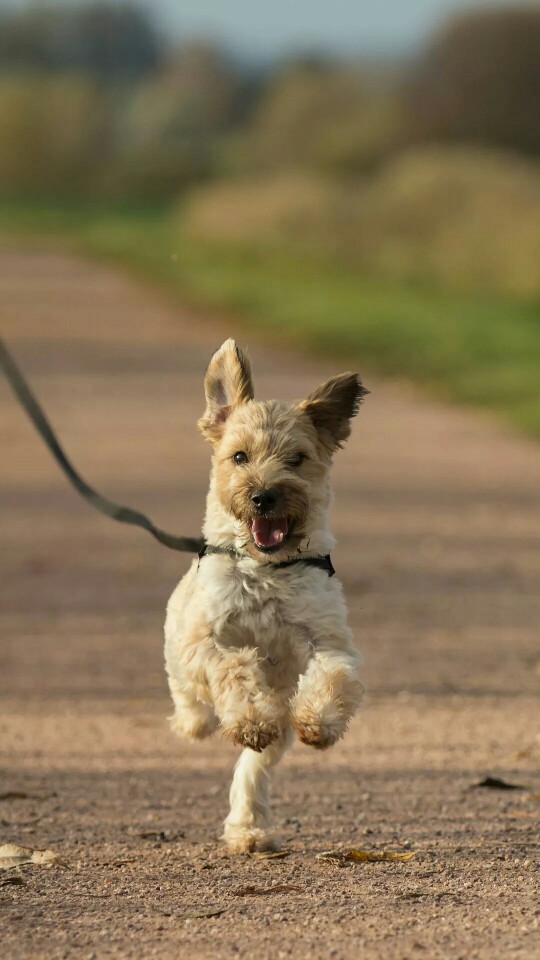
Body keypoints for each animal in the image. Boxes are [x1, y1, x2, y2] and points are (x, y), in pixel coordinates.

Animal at [165, 342, 368, 852]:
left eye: (297, 458)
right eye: (239, 456)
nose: (264, 495)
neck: (267, 568)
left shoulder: (328, 639)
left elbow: (333, 674)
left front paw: (319, 721)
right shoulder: (202, 640)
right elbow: (233, 667)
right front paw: (250, 718)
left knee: (251, 772)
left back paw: (249, 829)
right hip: (178, 655)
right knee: (190, 702)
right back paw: (195, 723)